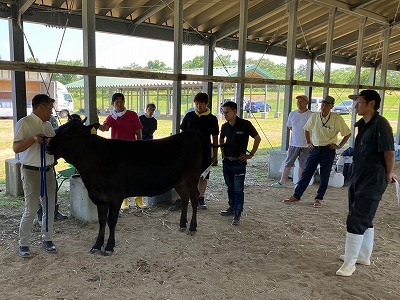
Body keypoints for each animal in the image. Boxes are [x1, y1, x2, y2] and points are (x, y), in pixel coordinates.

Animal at [47, 119, 206, 255]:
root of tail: (190, 133)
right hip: (179, 182)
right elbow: (101, 221)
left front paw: (109, 247)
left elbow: (111, 221)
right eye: (59, 128)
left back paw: (192, 227)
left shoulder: (115, 196)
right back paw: (182, 225)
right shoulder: (99, 197)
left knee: (194, 200)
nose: (48, 144)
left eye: (70, 133)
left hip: (192, 178)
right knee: (185, 199)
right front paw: (97, 245)